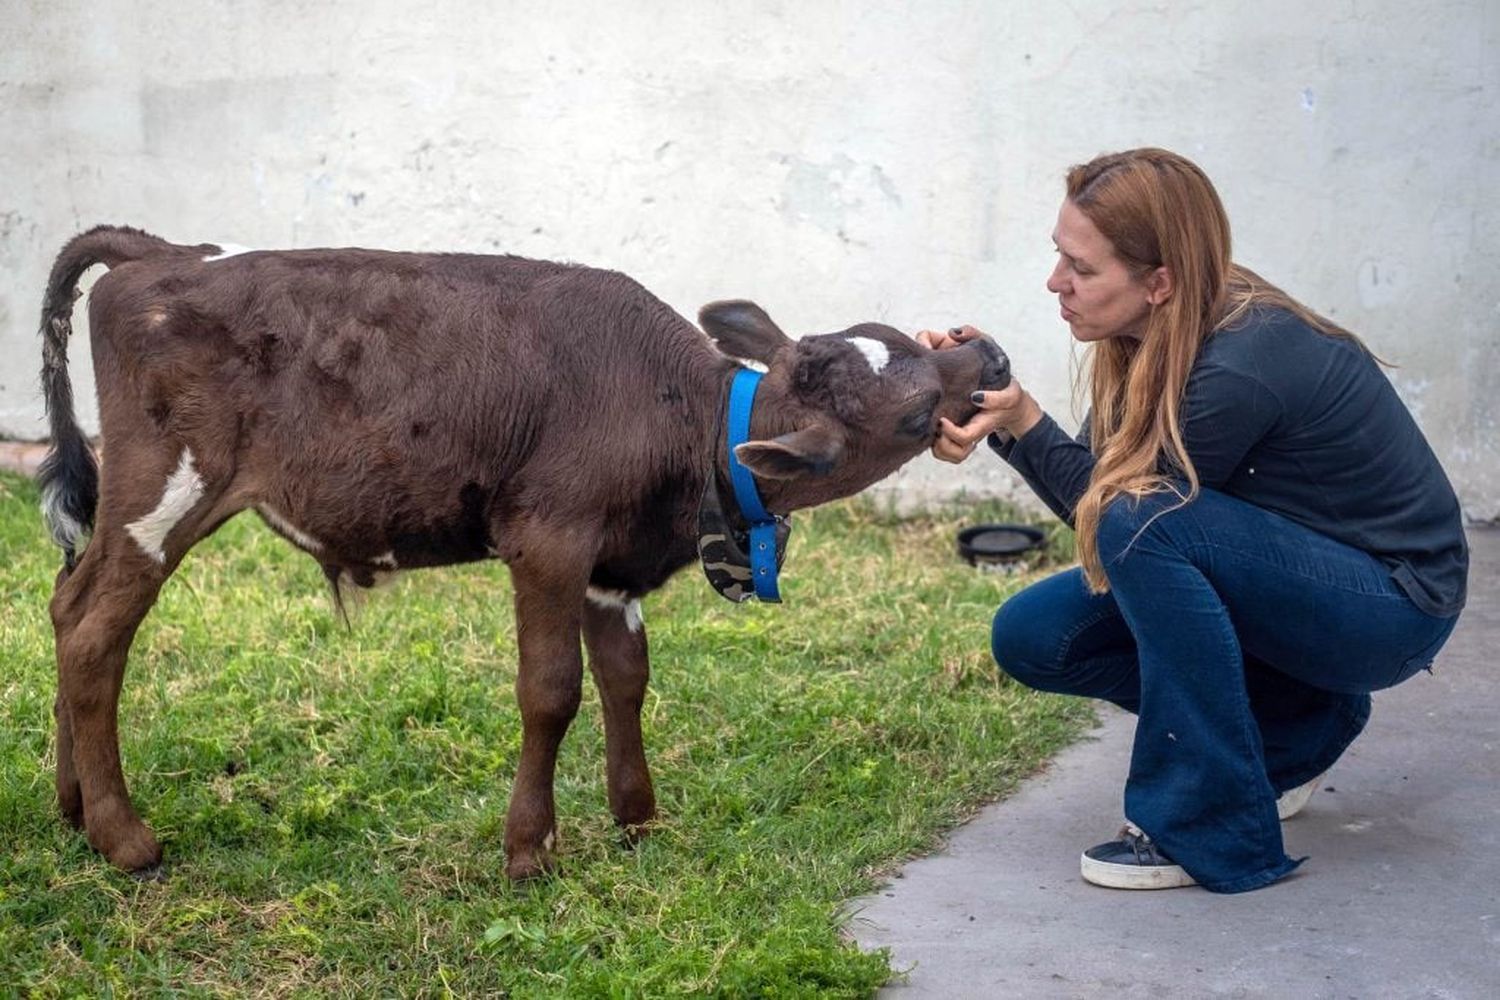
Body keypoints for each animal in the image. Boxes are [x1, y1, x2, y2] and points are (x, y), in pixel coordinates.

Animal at [38, 224, 1008, 875]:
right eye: (916, 415)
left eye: (905, 341)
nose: (991, 352)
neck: (685, 420)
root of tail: (163, 252)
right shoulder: (549, 537)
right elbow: (552, 691)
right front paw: (529, 849)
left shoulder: (612, 566)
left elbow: (626, 678)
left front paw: (638, 818)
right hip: (163, 491)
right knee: (95, 634)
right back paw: (125, 839)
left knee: (64, 603)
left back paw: (72, 807)